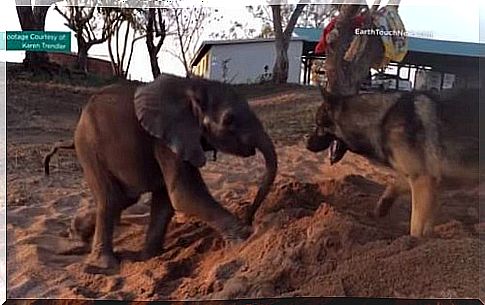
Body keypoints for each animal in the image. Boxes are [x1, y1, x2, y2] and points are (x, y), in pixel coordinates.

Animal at [49, 73, 278, 270]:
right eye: (229, 120)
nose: (250, 217)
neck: (191, 86)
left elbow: (167, 200)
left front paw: (149, 257)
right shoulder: (166, 138)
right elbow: (184, 194)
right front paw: (246, 236)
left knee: (123, 199)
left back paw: (76, 235)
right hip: (89, 149)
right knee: (111, 199)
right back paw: (104, 265)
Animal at [306, 88, 476, 238]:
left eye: (318, 125)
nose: (306, 143)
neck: (380, 121)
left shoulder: (422, 180)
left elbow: (416, 225)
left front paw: (413, 243)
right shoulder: (424, 181)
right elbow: (393, 186)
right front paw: (380, 210)